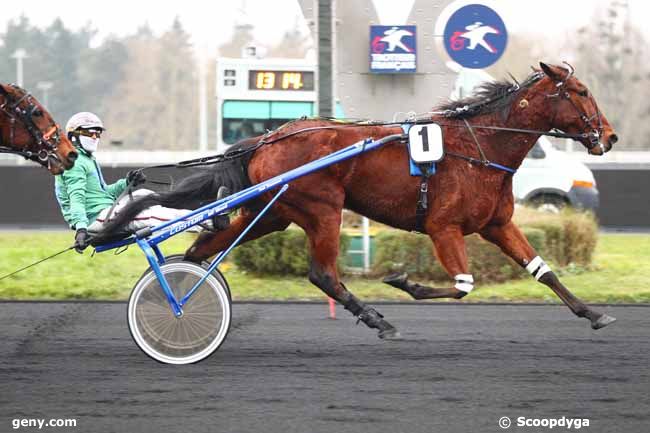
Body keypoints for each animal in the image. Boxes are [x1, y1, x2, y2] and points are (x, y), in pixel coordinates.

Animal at [96, 63, 616, 338]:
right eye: (581, 91)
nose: (608, 136)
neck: (479, 146)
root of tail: (267, 138)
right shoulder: (442, 227)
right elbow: (463, 284)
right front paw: (404, 281)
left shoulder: (497, 224)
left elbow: (544, 270)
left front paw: (593, 313)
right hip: (322, 208)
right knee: (322, 273)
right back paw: (375, 318)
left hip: (273, 213)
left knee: (202, 249)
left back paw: (177, 290)